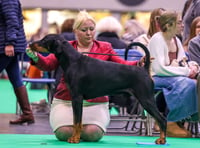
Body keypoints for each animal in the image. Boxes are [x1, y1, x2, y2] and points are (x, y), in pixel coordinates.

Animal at [29, 34, 167, 144]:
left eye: (44, 40)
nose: (30, 44)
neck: (73, 61)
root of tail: (144, 69)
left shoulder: (77, 97)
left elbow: (77, 122)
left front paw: (75, 139)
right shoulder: (76, 98)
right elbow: (76, 121)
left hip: (146, 99)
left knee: (162, 119)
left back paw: (162, 140)